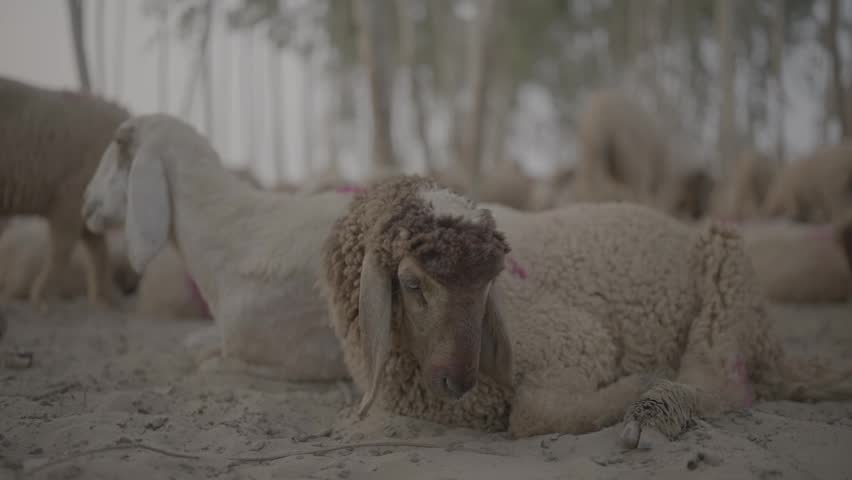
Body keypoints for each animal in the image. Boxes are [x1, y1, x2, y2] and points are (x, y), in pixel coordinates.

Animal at [319, 174, 852, 447]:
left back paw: (654, 400)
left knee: (722, 382)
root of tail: (775, 349)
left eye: (491, 283)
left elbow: (529, 415)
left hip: (726, 269)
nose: (461, 381)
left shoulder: (577, 340)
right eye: (411, 284)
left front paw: (628, 389)